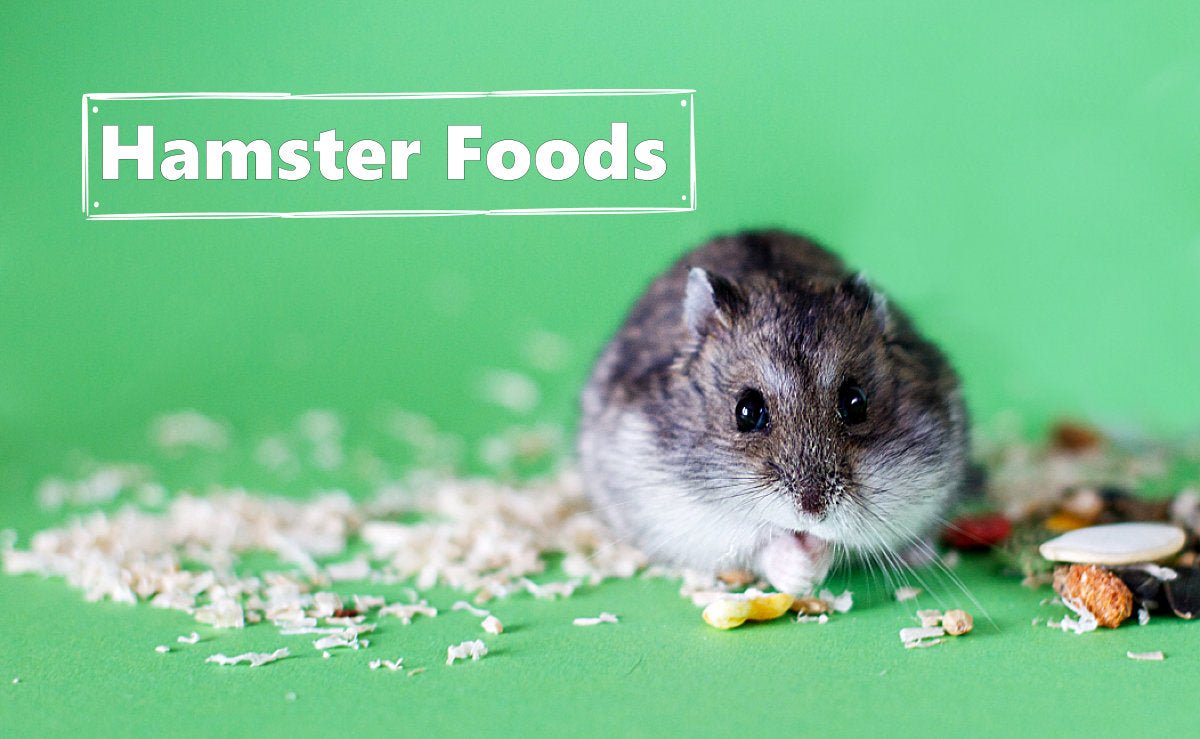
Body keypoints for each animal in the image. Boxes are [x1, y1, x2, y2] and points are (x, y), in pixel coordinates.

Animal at [578, 230, 968, 594]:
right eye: (747, 411)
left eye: (856, 403)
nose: (812, 511)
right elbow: (761, 546)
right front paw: (800, 572)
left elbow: (840, 544)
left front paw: (814, 559)